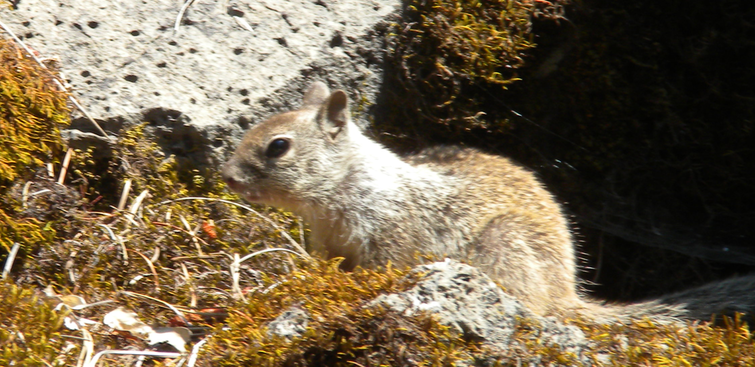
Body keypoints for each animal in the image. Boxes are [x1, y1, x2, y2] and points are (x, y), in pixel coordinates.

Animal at [221, 82, 755, 324]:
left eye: (278, 147)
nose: (227, 176)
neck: (341, 191)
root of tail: (568, 295)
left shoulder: (391, 238)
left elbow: (383, 268)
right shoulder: (330, 244)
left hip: (504, 247)